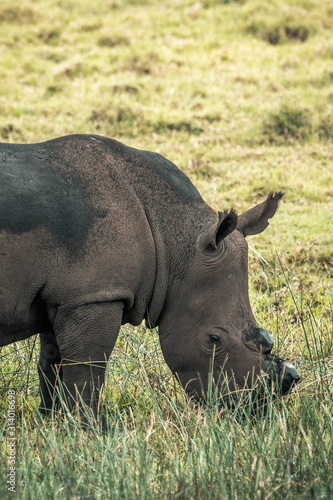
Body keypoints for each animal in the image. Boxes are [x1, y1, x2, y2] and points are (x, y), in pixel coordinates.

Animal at [0, 134, 300, 418]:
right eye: (214, 340)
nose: (253, 408)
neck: (173, 240)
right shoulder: (95, 296)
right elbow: (87, 370)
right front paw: (90, 429)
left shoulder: (67, 297)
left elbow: (53, 365)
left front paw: (53, 423)